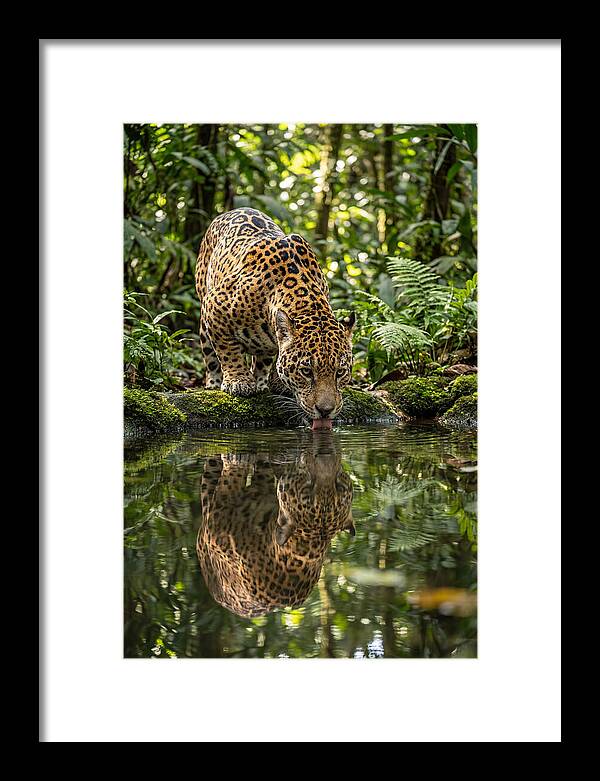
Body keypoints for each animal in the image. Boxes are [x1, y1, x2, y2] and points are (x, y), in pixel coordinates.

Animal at [195, 208, 355, 430]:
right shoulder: (214, 306)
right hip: (204, 311)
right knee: (210, 356)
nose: (325, 411)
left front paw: (277, 382)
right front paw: (239, 381)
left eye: (340, 372)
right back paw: (214, 383)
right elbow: (228, 350)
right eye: (306, 371)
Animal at [196, 439, 355, 618]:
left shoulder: (217, 523)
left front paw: (237, 459)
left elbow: (231, 481)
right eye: (308, 488)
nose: (326, 455)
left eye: (339, 486)